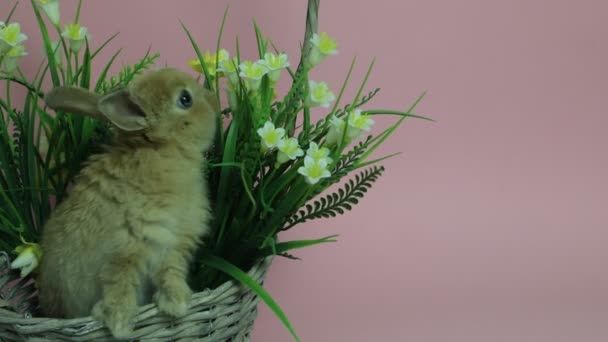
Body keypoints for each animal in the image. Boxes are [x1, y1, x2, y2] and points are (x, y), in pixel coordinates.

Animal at [36, 67, 220, 340]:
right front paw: (120, 324)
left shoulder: (173, 244)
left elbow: (171, 273)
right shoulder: (125, 249)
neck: (162, 148)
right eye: (185, 99)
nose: (215, 101)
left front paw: (177, 303)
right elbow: (119, 284)